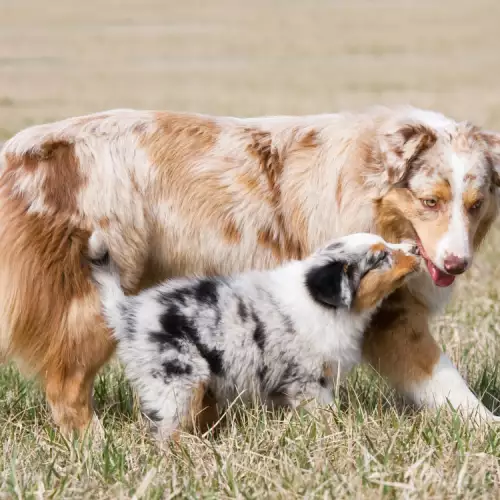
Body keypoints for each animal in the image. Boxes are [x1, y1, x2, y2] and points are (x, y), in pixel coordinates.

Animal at [91, 232, 422, 440]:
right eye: (381, 257)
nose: (416, 248)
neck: (322, 303)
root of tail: (128, 311)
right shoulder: (309, 381)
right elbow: (325, 414)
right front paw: (335, 433)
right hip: (178, 381)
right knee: (168, 430)